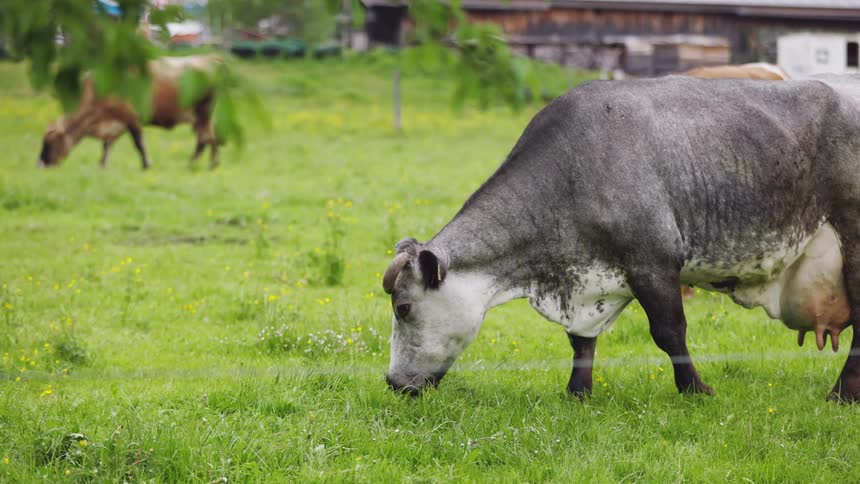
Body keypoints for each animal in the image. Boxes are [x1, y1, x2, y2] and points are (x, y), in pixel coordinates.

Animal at [38, 55, 221, 170]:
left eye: (49, 142)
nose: (40, 165)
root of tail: (210, 59)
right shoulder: (117, 123)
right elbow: (107, 146)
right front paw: (102, 166)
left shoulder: (132, 117)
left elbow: (139, 144)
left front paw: (146, 165)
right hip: (202, 117)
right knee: (209, 137)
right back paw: (209, 164)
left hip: (203, 112)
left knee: (204, 138)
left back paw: (197, 164)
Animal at [382, 75, 860, 402]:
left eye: (403, 307)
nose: (391, 381)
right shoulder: (587, 279)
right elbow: (580, 341)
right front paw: (578, 391)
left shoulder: (653, 262)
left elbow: (669, 332)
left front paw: (695, 389)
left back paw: (842, 394)